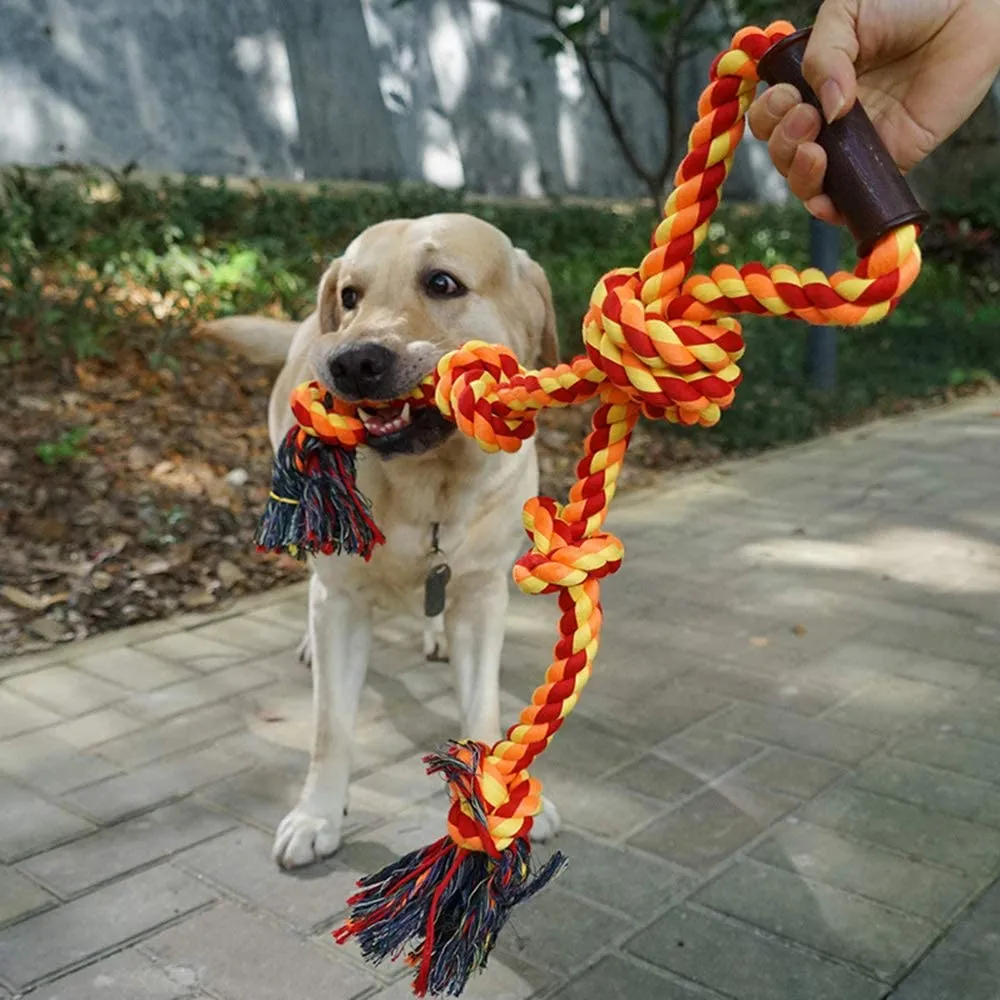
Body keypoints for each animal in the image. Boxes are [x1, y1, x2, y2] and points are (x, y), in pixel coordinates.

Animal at [201, 213, 564, 868]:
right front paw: (318, 813)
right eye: (351, 295)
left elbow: (482, 707)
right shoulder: (342, 602)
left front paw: (500, 804)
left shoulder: (481, 597)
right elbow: (331, 727)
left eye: (442, 282)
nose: (350, 362)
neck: (429, 486)